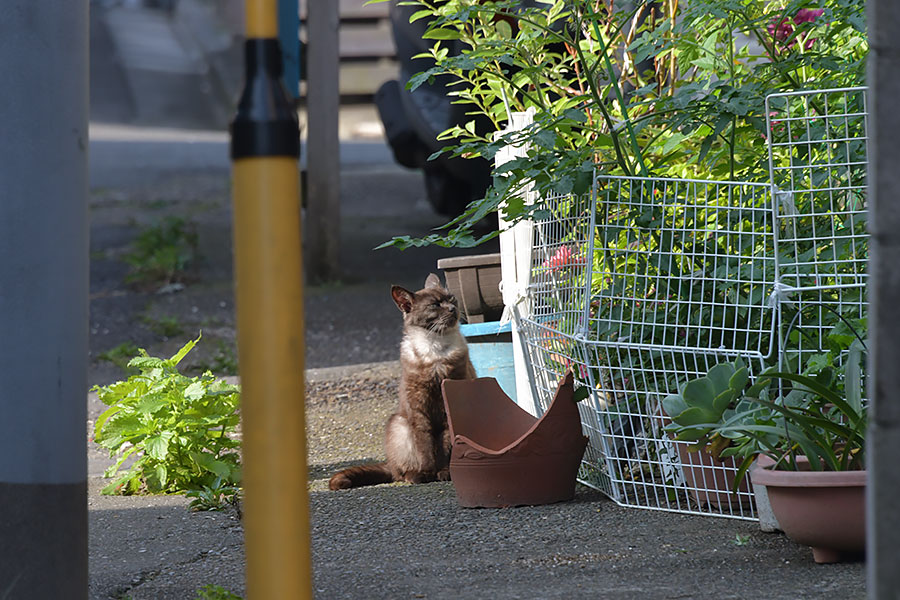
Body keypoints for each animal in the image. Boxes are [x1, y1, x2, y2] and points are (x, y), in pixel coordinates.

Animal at [330, 274, 478, 490]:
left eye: (451, 299)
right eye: (434, 305)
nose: (452, 308)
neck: (435, 350)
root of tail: (388, 464)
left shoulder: (446, 408)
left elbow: (445, 446)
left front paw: (444, 473)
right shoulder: (418, 408)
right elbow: (424, 446)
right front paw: (427, 474)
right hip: (399, 424)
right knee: (398, 472)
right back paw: (413, 475)